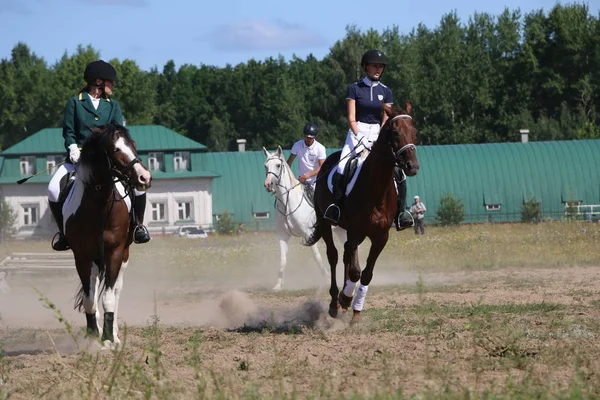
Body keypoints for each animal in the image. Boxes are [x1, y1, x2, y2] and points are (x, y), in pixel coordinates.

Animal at [61, 123, 151, 348]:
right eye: (116, 149)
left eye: (133, 144)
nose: (145, 177)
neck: (99, 205)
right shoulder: (82, 257)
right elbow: (89, 298)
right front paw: (94, 335)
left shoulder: (115, 252)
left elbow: (109, 297)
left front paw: (109, 339)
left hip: (123, 255)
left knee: (116, 290)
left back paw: (115, 333)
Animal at [262, 147, 342, 290]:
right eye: (266, 166)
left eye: (278, 165)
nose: (268, 184)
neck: (288, 203)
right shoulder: (282, 235)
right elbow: (282, 259)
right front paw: (278, 285)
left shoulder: (309, 234)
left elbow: (317, 258)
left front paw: (328, 279)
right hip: (339, 230)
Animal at [304, 103, 418, 324]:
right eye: (395, 132)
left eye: (414, 132)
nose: (412, 166)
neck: (377, 191)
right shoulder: (355, 230)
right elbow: (356, 272)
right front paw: (346, 298)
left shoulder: (380, 236)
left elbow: (366, 274)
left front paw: (355, 309)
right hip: (326, 222)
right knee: (334, 256)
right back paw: (335, 303)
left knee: (346, 255)